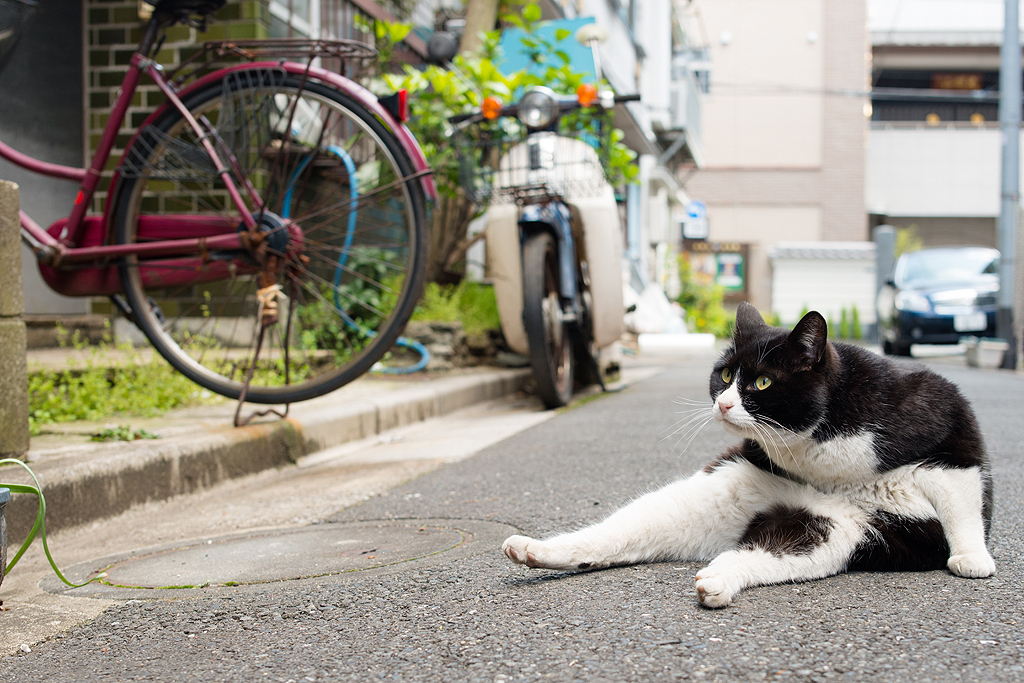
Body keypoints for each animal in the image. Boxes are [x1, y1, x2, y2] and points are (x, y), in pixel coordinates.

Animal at [499, 305, 995, 610]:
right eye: (723, 375)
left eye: (761, 383)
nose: (722, 404)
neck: (819, 449)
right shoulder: (753, 456)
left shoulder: (950, 423)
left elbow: (963, 500)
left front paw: (973, 558)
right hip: (739, 490)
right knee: (619, 534)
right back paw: (534, 549)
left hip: (847, 528)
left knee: (769, 550)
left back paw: (716, 579)